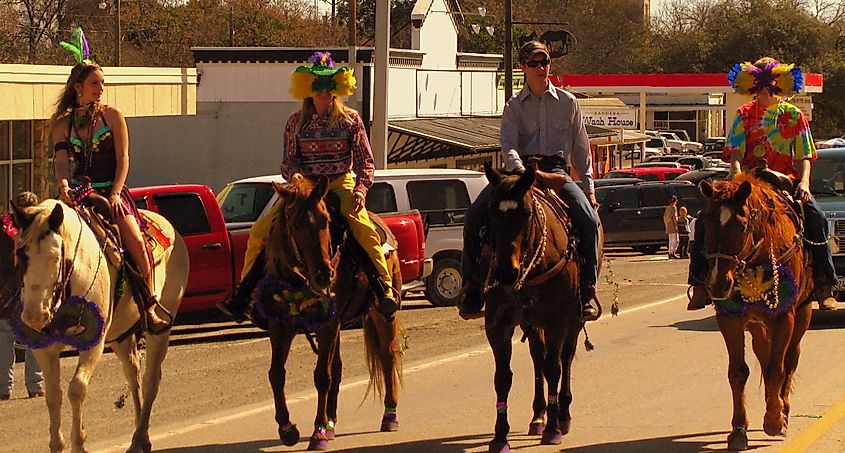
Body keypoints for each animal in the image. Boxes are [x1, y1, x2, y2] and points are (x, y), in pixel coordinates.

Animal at [12, 200, 189, 452]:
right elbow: (53, 395)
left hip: (161, 329)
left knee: (151, 380)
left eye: (56, 256)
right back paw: (137, 436)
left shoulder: (93, 344)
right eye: (20, 253)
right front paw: (57, 444)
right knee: (133, 374)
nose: (35, 316)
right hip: (121, 337)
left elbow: (76, 389)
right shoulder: (45, 349)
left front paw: (79, 443)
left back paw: (141, 437)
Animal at [258, 174, 402, 448]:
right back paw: (332, 420)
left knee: (387, 356)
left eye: (326, 220)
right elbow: (276, 374)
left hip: (382, 314)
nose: (324, 275)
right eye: (296, 224)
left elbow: (321, 376)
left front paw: (318, 433)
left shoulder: (328, 324)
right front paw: (287, 429)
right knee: (338, 366)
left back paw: (389, 416)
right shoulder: (280, 325)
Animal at [478, 164, 592, 450]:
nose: (506, 272)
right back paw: (538, 417)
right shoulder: (498, 325)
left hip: (573, 321)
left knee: (565, 358)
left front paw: (553, 429)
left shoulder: (556, 321)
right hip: (531, 322)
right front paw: (500, 436)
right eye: (491, 212)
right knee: (537, 358)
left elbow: (554, 369)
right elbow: (502, 377)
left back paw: (562, 415)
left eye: (526, 213)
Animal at [696, 175, 816, 450]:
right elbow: (738, 372)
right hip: (757, 325)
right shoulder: (729, 318)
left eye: (741, 226)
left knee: (789, 358)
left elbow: (776, 368)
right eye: (706, 222)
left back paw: (783, 408)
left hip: (802, 315)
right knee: (764, 355)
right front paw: (739, 430)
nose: (718, 284)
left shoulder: (784, 317)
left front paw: (774, 420)